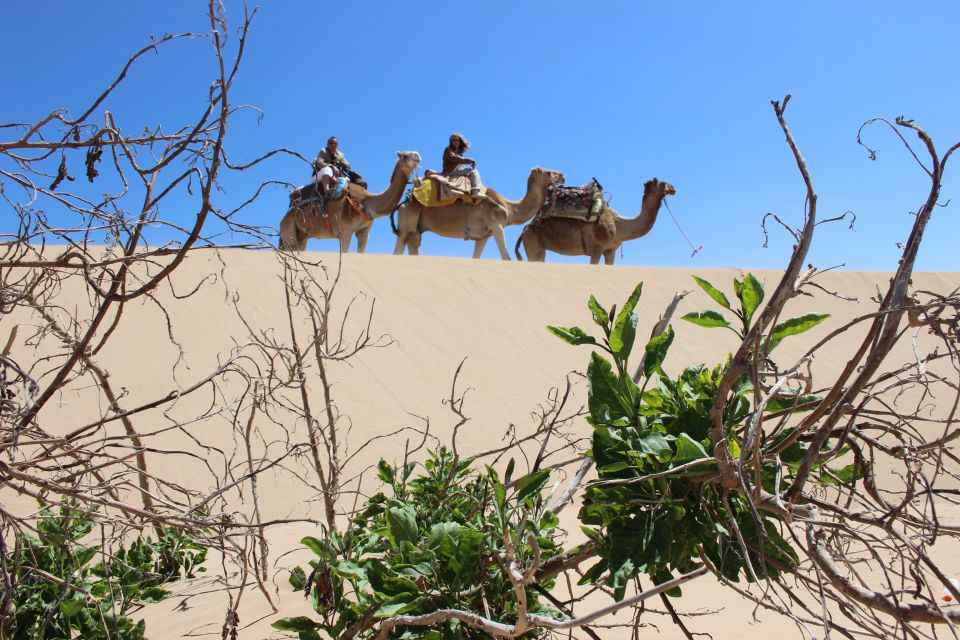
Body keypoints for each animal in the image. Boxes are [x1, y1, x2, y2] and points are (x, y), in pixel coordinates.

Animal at [282, 152, 424, 252]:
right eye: (405, 155)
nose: (417, 155)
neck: (366, 203)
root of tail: (285, 216)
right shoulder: (345, 231)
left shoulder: (364, 232)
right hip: (289, 232)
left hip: (301, 237)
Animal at [394, 168, 568, 262]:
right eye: (548, 172)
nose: (562, 175)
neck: (509, 207)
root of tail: (405, 201)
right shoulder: (496, 225)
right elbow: (506, 258)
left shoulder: (483, 236)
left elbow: (476, 258)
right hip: (407, 223)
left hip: (415, 229)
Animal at [512, 178, 680, 264]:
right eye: (662, 183)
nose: (673, 188)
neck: (619, 225)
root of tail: (525, 229)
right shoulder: (597, 248)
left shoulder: (610, 250)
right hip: (533, 245)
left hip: (539, 250)